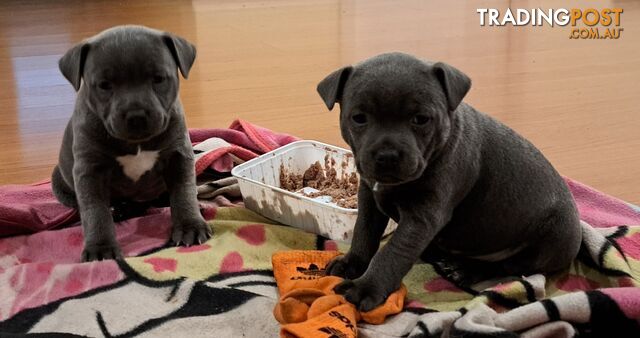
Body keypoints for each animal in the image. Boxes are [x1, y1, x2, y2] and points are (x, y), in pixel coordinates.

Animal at [52, 25, 211, 262]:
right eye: (104, 85)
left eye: (158, 78)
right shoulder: (89, 170)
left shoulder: (179, 156)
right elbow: (95, 210)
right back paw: (119, 210)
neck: (136, 144)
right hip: (60, 180)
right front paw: (100, 247)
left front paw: (190, 225)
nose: (136, 115)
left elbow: (183, 191)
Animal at [318, 52, 584, 312]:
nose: (388, 156)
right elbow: (364, 232)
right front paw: (352, 263)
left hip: (549, 240)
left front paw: (367, 287)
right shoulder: (369, 197)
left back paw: (464, 269)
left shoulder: (422, 218)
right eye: (358, 118)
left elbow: (392, 251)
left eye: (421, 119)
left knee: (507, 267)